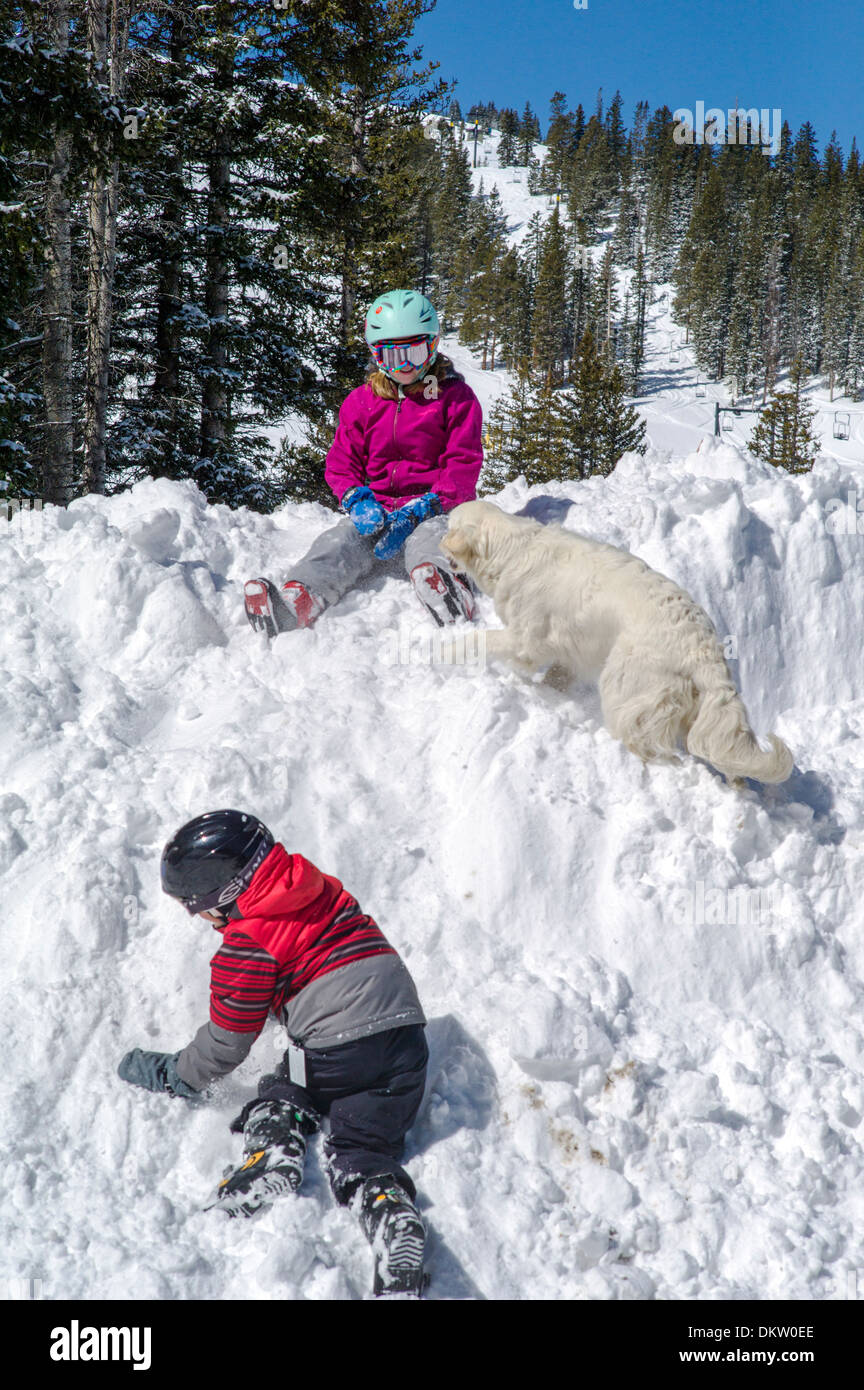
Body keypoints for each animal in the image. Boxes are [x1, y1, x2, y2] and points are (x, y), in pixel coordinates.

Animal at [444, 500, 794, 783]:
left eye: (448, 525)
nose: (438, 540)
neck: (513, 550)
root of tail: (702, 644)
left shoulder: (525, 639)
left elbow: (479, 641)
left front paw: (441, 652)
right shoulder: (568, 648)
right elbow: (557, 673)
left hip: (624, 687)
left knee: (647, 743)